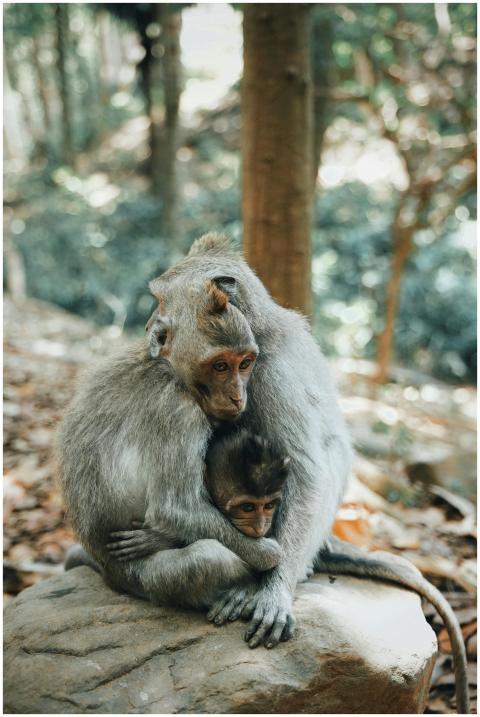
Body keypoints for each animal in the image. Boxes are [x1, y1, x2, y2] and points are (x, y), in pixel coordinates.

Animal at [58, 233, 468, 712]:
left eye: (240, 364)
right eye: (155, 300)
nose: (151, 329)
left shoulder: (269, 374)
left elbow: (305, 474)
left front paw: (272, 585)